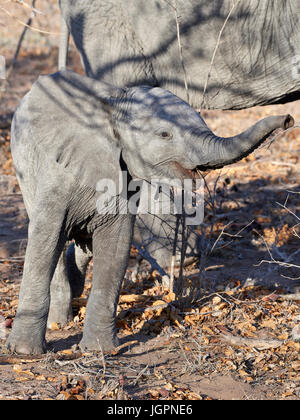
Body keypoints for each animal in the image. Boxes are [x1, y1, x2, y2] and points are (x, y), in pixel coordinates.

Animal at [6, 70, 292, 352]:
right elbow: (47, 238)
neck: (113, 105)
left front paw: (101, 351)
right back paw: (59, 321)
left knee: (84, 243)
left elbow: (117, 244)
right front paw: (23, 352)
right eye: (165, 135)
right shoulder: (57, 173)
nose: (288, 119)